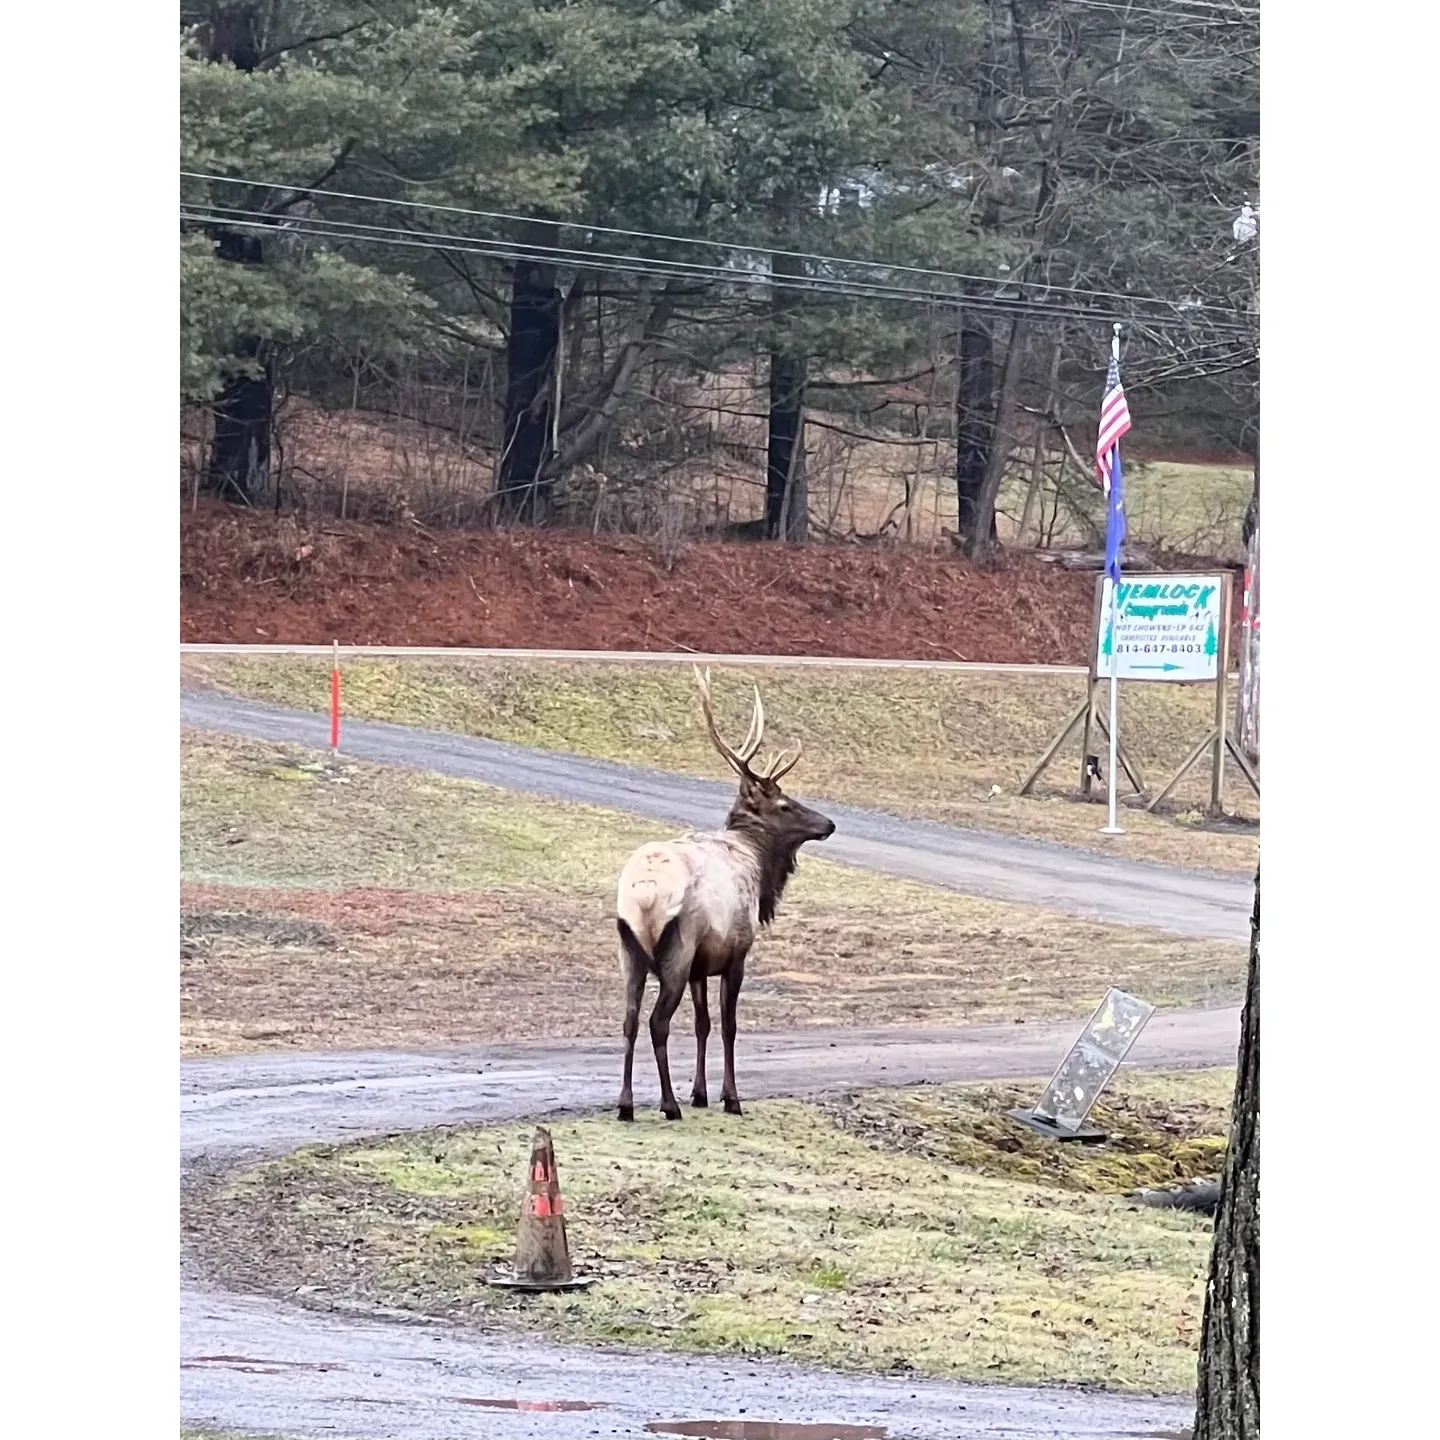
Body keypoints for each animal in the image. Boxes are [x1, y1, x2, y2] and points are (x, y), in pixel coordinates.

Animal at [616, 668, 840, 1117]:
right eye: (785, 804)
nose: (829, 823)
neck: (756, 862)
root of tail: (645, 892)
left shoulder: (702, 964)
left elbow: (702, 1025)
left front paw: (701, 1092)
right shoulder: (735, 951)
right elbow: (729, 1025)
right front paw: (730, 1097)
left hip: (628, 949)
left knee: (629, 1019)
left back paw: (626, 1104)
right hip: (677, 948)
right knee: (656, 1022)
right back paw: (668, 1104)